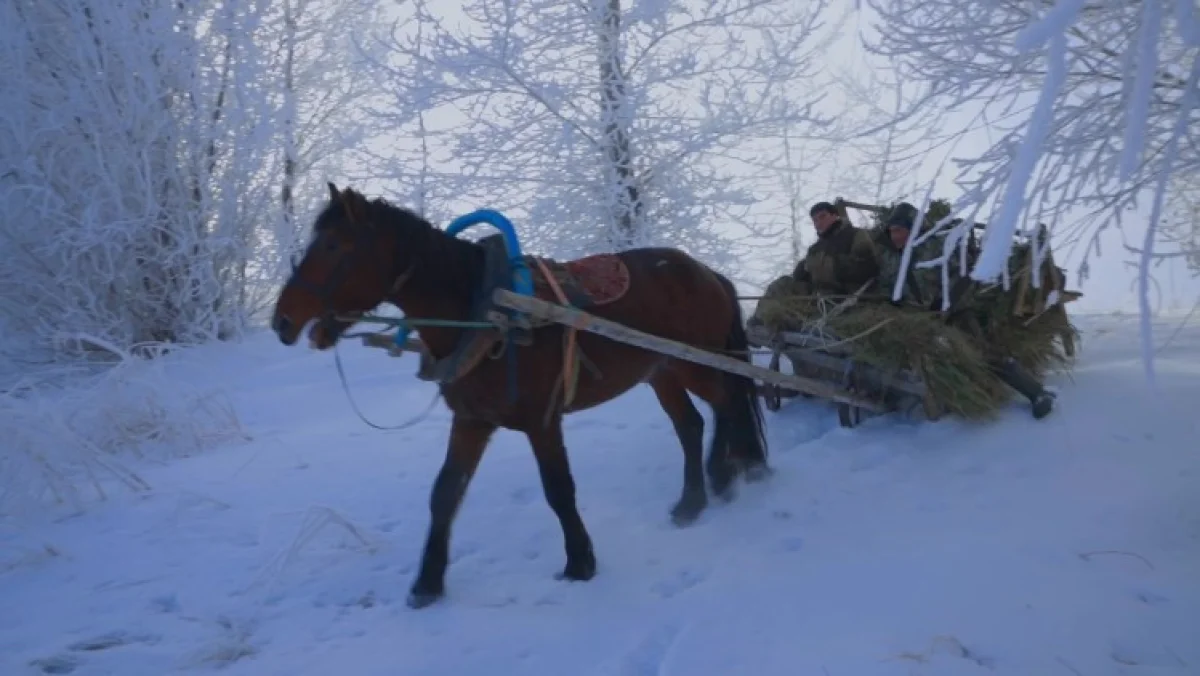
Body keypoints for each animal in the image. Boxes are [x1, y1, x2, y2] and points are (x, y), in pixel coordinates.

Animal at [272, 183, 768, 607]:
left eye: (334, 246)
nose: (282, 321)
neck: (484, 313)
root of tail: (707, 272)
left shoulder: (541, 420)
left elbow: (558, 490)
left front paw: (580, 562)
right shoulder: (472, 420)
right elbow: (444, 494)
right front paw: (427, 583)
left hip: (695, 362)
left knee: (727, 402)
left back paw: (725, 473)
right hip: (660, 370)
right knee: (692, 423)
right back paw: (693, 500)